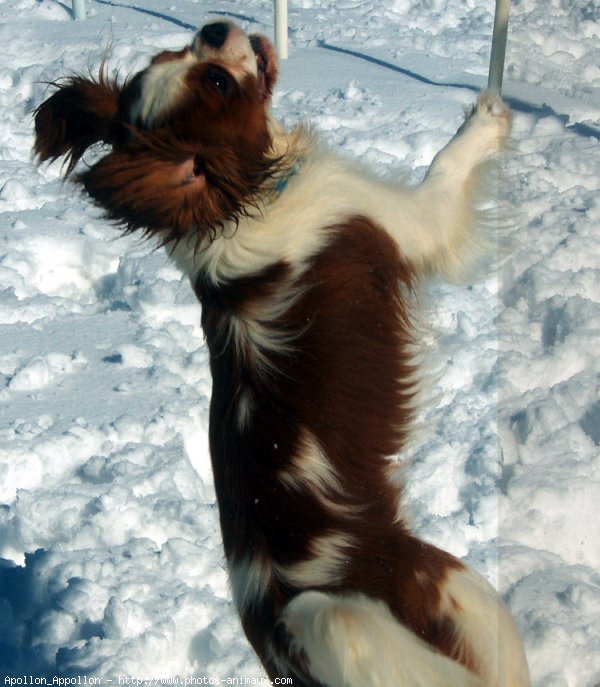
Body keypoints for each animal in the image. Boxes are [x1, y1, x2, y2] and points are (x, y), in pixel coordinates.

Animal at [32, 18, 528, 687]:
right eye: (218, 81)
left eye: (177, 53)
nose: (214, 25)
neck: (248, 195)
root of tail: (277, 630)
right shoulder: (406, 219)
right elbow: (446, 165)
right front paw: (486, 117)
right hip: (353, 622)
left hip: (462, 595)